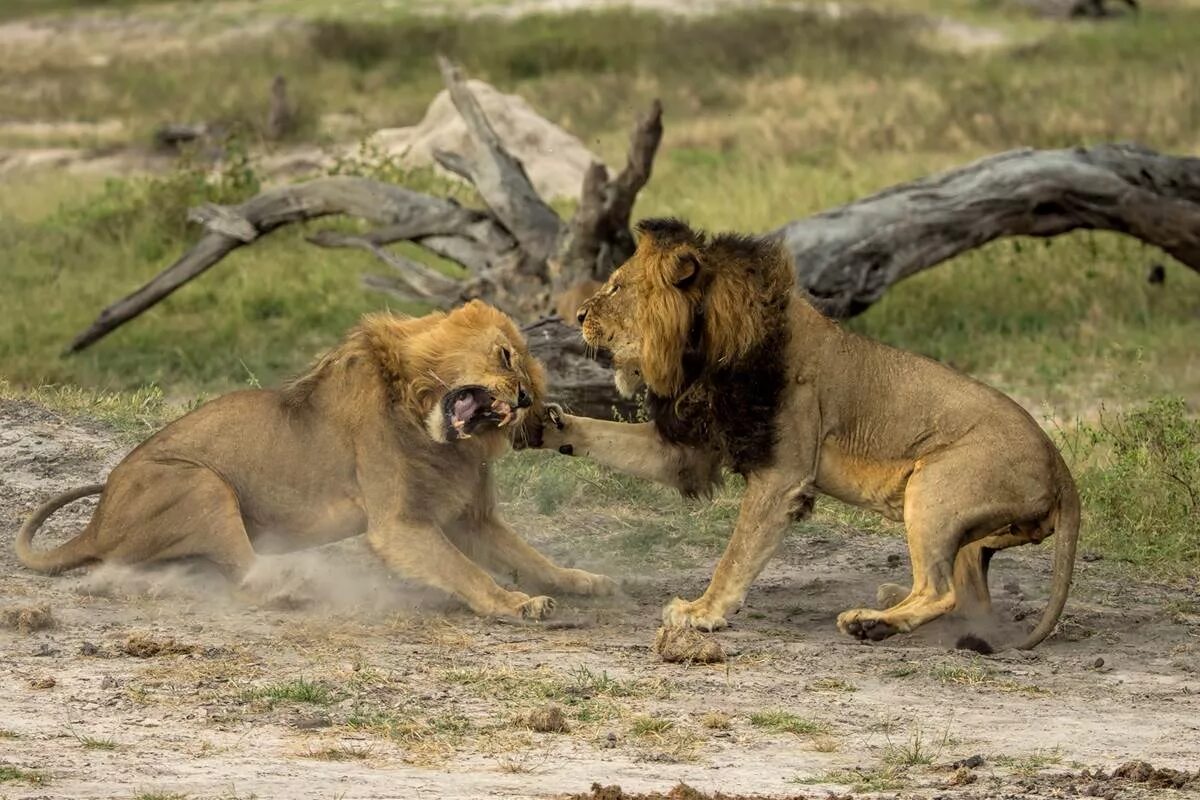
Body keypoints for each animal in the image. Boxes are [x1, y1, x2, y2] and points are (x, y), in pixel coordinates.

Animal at [16, 299, 619, 618]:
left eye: (532, 393)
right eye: (506, 356)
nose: (522, 397)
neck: (426, 423)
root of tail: (95, 523)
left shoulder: (470, 517)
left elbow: (529, 555)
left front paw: (579, 580)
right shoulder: (398, 524)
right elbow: (466, 571)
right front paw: (515, 604)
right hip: (200, 482)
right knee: (246, 573)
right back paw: (294, 585)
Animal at [535, 219, 1080, 652]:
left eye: (615, 288)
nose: (578, 317)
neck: (703, 351)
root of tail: (1062, 470)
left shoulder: (783, 473)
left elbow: (737, 553)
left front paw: (702, 612)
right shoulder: (692, 449)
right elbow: (605, 436)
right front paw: (547, 424)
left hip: (935, 487)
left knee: (941, 591)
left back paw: (870, 624)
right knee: (969, 597)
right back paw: (889, 603)